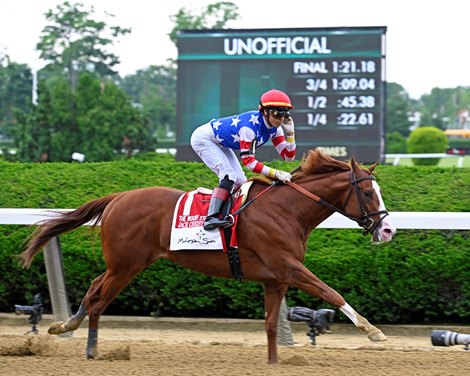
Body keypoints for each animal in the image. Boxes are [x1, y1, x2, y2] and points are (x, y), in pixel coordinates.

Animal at [22, 149, 396, 364]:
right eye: (367, 192)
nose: (388, 230)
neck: (287, 210)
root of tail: (117, 198)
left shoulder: (275, 278)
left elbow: (271, 323)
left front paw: (274, 362)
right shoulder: (289, 266)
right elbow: (330, 292)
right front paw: (373, 331)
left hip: (125, 264)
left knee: (95, 288)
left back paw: (66, 324)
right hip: (126, 265)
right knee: (100, 299)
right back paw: (90, 348)